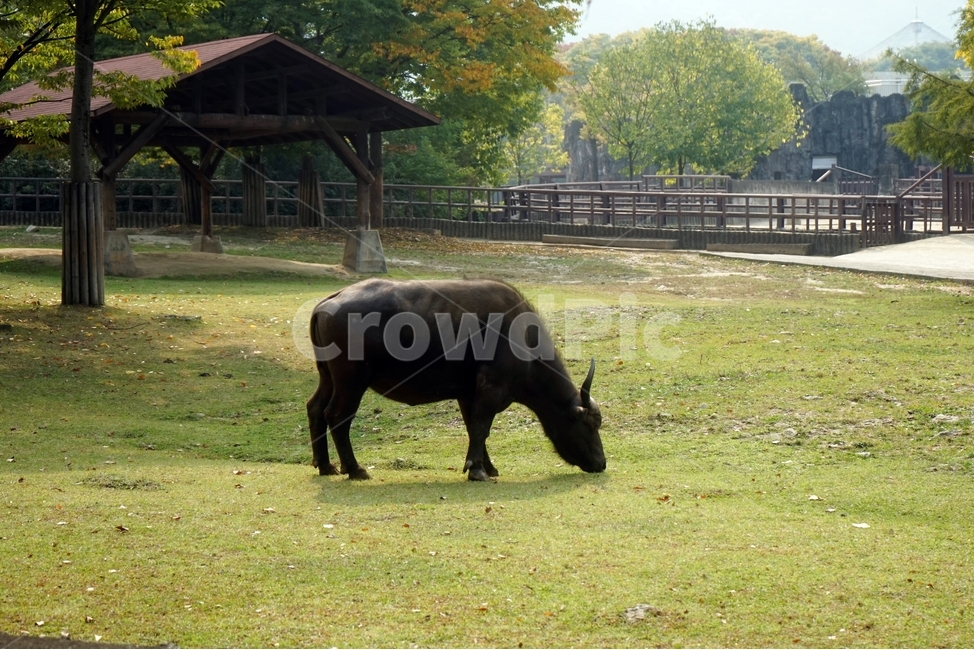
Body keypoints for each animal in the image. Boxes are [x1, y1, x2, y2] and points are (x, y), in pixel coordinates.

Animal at [306, 278, 605, 481]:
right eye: (589, 425)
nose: (601, 463)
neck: (521, 339)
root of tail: (329, 301)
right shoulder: (491, 388)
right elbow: (481, 428)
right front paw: (477, 471)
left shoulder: (468, 394)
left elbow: (473, 429)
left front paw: (486, 466)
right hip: (351, 381)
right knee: (337, 415)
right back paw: (354, 468)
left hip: (328, 377)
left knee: (315, 408)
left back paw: (326, 465)